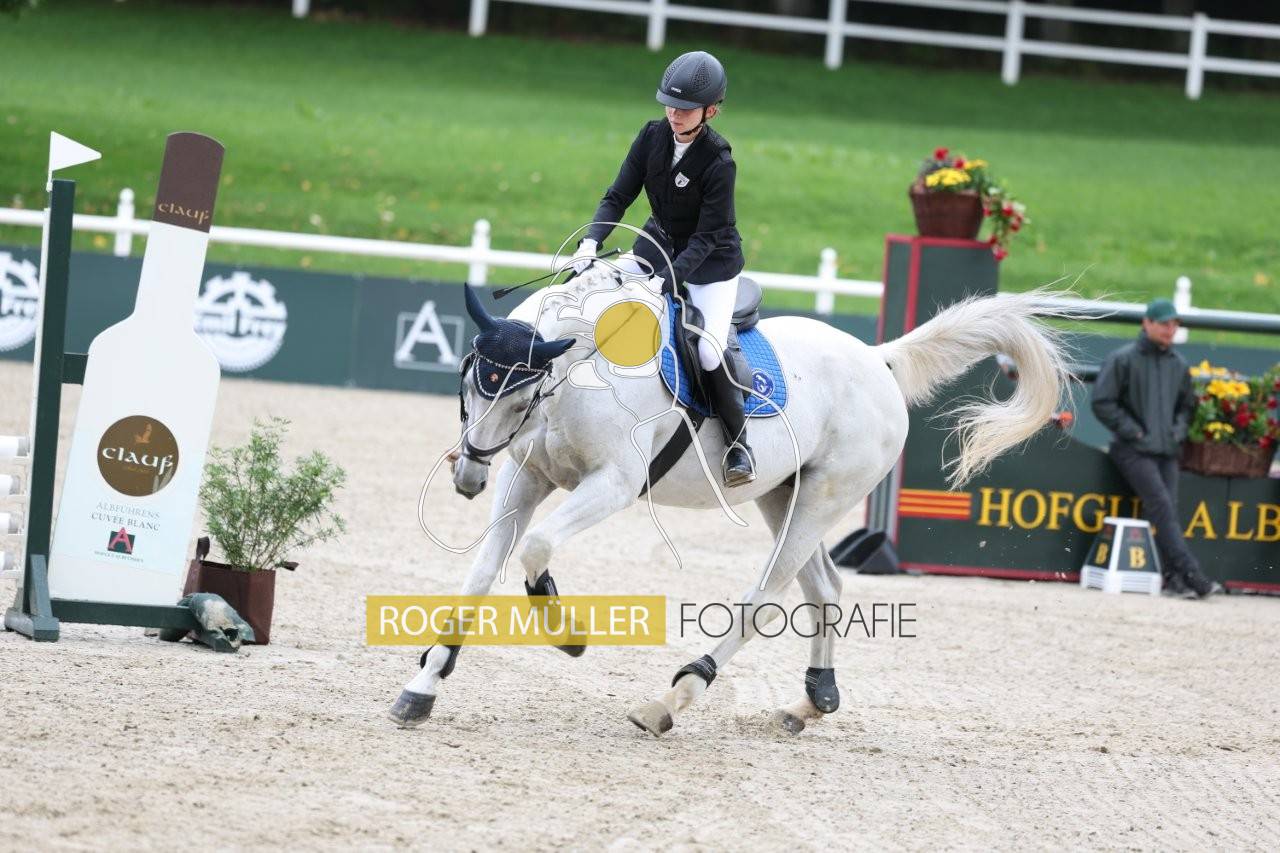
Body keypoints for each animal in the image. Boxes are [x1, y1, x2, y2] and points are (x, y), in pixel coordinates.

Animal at [390, 263, 1072, 736]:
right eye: (468, 383)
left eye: (520, 398)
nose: (467, 476)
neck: (582, 376)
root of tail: (878, 362)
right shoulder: (526, 478)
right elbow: (482, 573)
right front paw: (425, 683)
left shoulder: (612, 484)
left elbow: (535, 547)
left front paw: (566, 633)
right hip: (784, 494)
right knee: (823, 586)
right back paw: (811, 702)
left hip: (822, 498)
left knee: (768, 594)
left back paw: (674, 698)